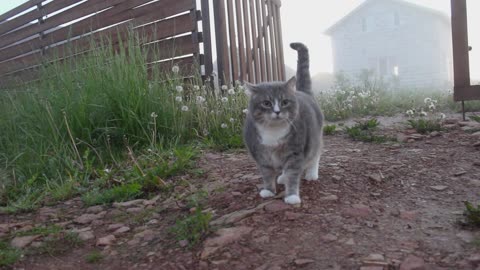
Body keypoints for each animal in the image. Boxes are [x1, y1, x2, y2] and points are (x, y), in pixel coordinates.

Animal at [242, 42, 324, 205]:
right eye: (266, 103)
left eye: (285, 102)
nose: (277, 111)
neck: (273, 132)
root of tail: (304, 92)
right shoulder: (261, 155)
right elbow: (267, 174)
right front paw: (268, 190)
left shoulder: (295, 153)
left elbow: (293, 174)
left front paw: (292, 196)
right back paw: (281, 177)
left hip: (314, 137)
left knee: (315, 153)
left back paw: (311, 173)